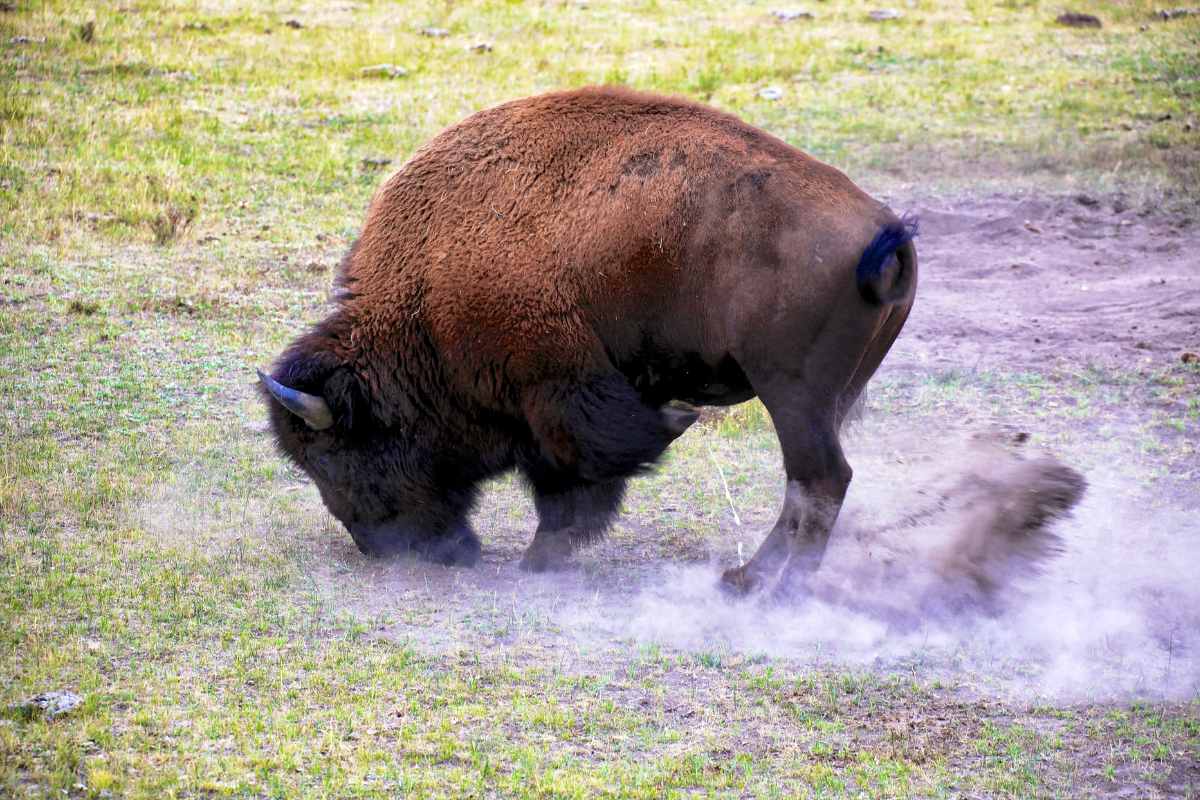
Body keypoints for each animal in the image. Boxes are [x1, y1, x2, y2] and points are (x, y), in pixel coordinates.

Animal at [260, 86, 917, 596]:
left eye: (332, 456)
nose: (378, 546)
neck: (423, 291)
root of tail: (881, 225)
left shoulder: (554, 389)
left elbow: (577, 470)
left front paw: (540, 557)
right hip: (826, 399)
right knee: (807, 486)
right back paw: (743, 580)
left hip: (792, 392)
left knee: (820, 481)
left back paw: (775, 592)